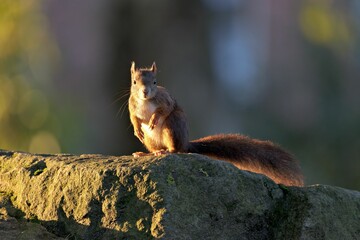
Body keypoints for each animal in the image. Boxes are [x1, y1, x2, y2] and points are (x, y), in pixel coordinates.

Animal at [128, 61, 302, 186]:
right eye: (134, 82)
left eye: (155, 82)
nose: (145, 92)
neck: (145, 102)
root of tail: (187, 143)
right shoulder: (131, 106)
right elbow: (134, 118)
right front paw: (137, 130)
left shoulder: (165, 101)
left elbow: (164, 110)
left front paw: (153, 119)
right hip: (151, 140)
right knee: (156, 149)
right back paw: (147, 153)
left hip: (173, 126)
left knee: (177, 149)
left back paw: (167, 151)